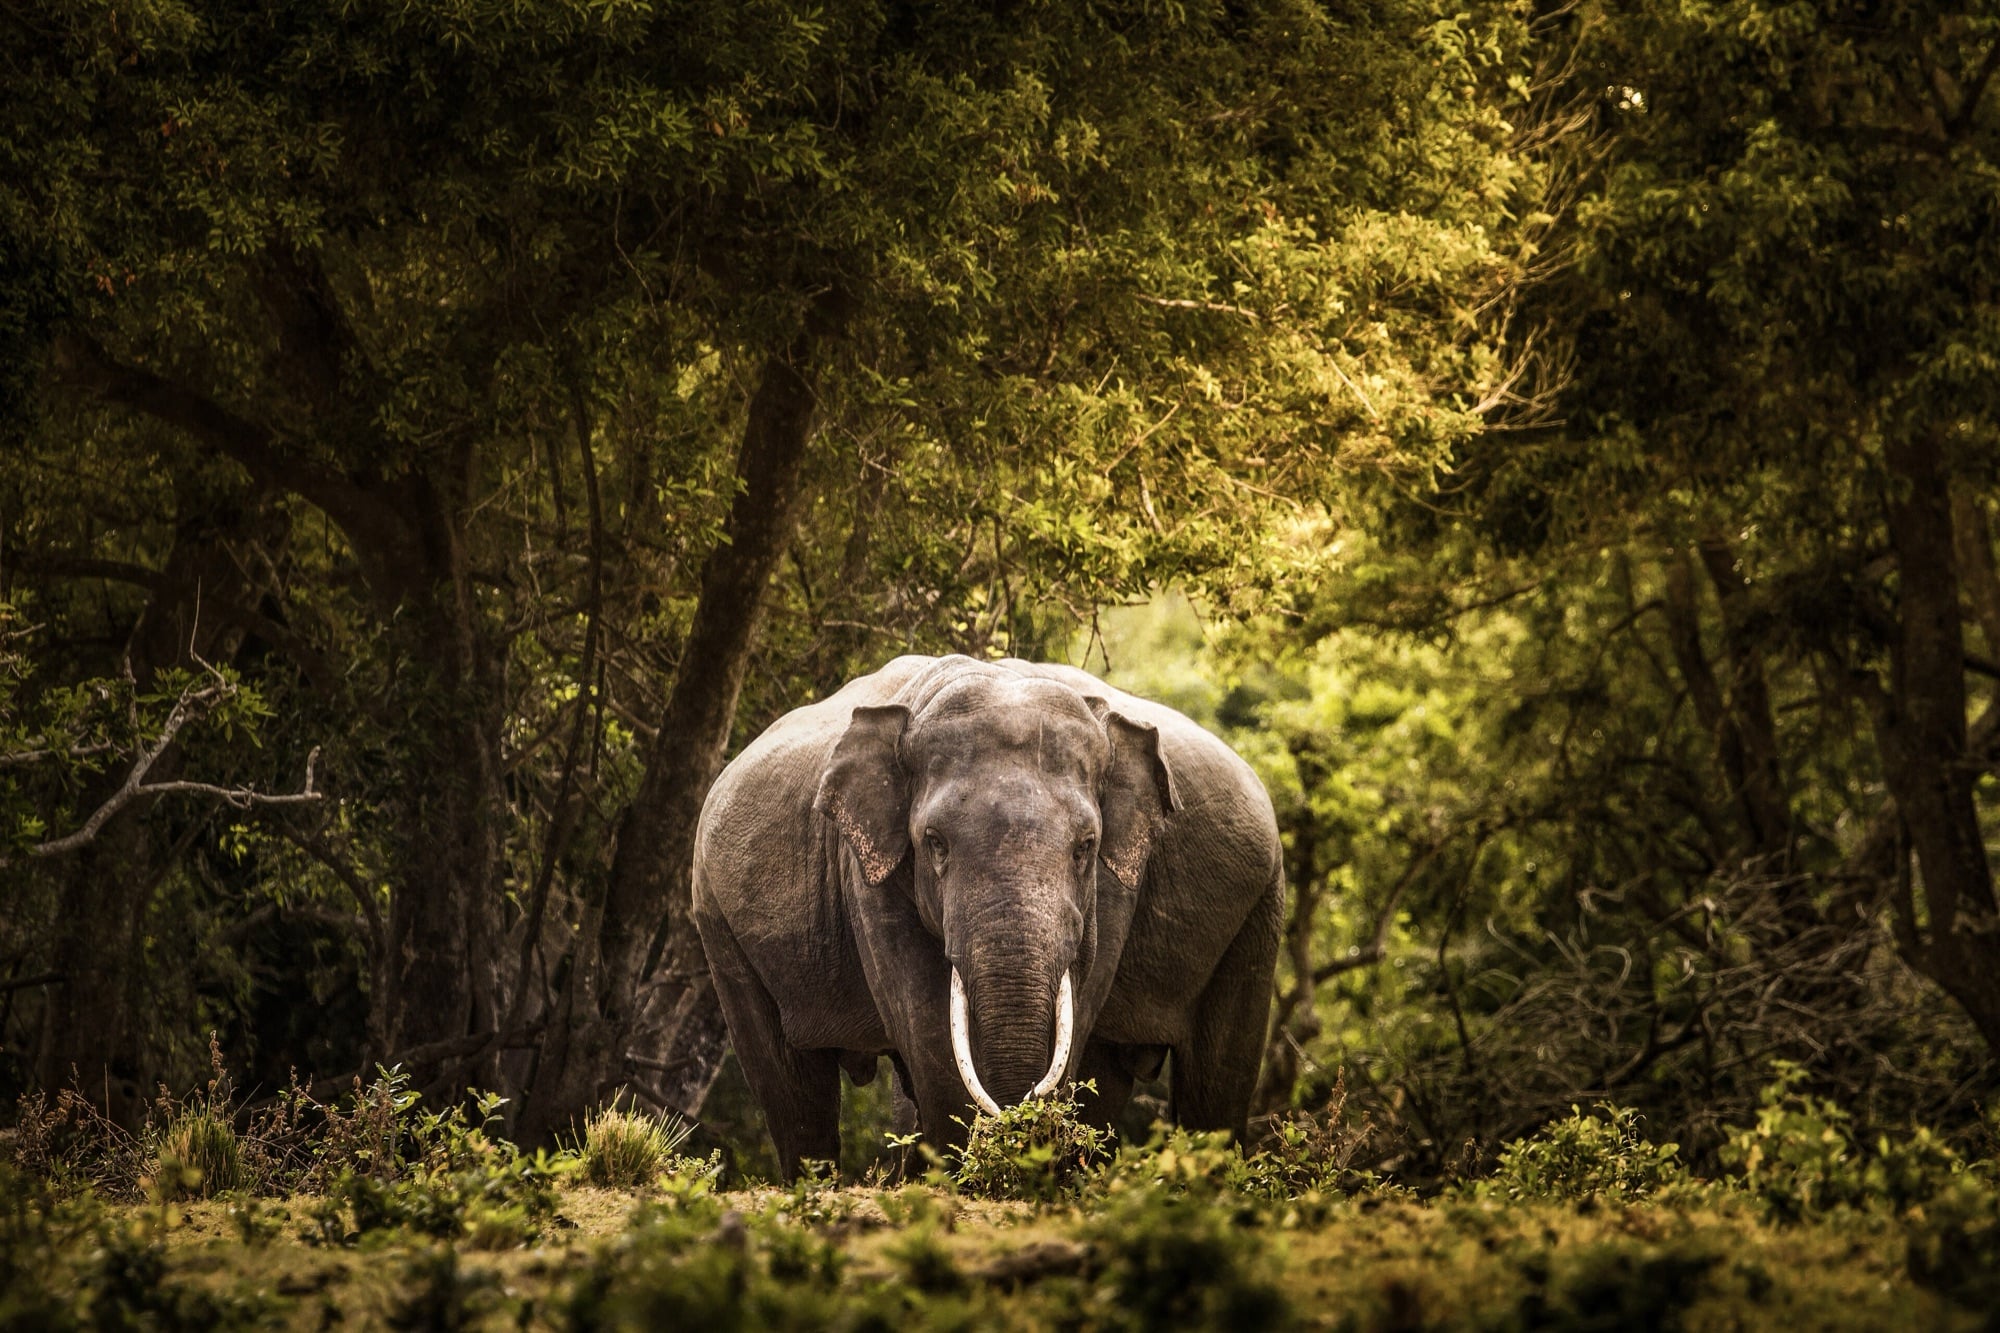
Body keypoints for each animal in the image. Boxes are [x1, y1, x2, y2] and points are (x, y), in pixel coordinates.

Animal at [690, 653, 1283, 1178]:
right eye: (934, 842)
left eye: (1086, 846)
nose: (1019, 1112)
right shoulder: (864, 868)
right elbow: (926, 1022)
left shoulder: (1118, 883)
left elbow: (1083, 994)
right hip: (715, 916)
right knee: (791, 1088)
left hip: (1260, 905)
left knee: (1216, 1078)